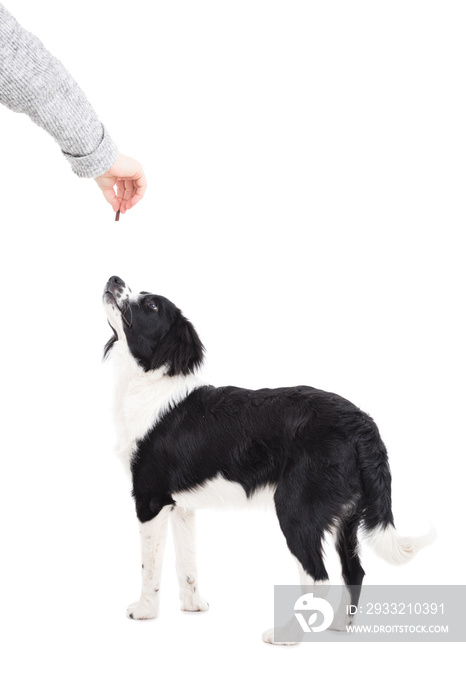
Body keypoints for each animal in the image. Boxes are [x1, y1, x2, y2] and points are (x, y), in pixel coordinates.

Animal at [103, 274, 434, 644]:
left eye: (151, 305)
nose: (114, 278)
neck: (148, 382)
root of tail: (362, 423)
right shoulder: (181, 505)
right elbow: (186, 562)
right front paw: (193, 606)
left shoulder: (150, 498)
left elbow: (149, 565)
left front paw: (144, 611)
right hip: (344, 514)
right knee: (354, 571)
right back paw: (338, 626)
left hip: (296, 508)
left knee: (318, 577)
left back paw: (288, 634)